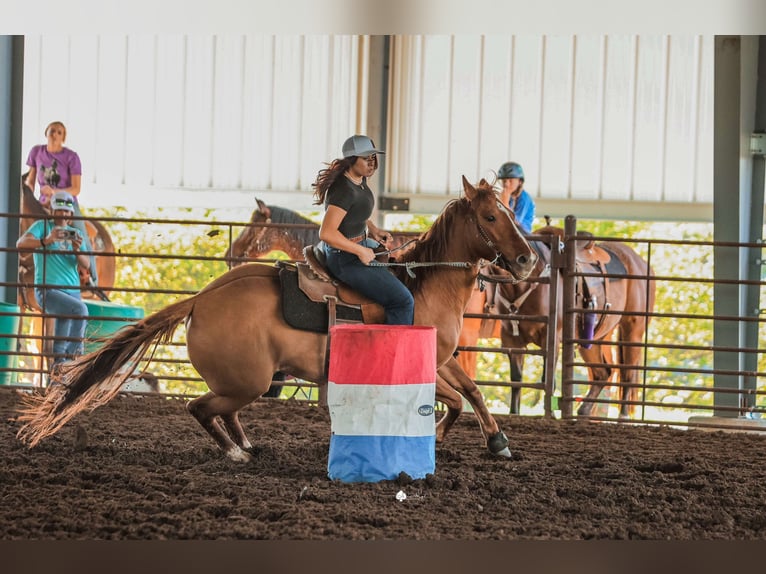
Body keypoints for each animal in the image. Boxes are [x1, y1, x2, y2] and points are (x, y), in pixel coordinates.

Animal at [15, 178, 536, 466]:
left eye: (508, 211)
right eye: (491, 215)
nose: (528, 259)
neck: (424, 283)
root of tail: (202, 298)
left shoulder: (446, 358)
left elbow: (471, 394)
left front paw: (497, 441)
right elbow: (456, 400)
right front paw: (442, 435)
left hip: (249, 380)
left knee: (224, 411)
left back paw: (248, 445)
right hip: (250, 379)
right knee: (201, 408)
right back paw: (235, 453)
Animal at [488, 225, 656, 418]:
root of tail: (642, 263)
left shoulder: (551, 338)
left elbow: (548, 379)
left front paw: (551, 415)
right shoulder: (512, 340)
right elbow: (516, 381)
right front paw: (513, 414)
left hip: (632, 331)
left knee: (628, 372)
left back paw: (622, 416)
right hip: (593, 338)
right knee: (604, 372)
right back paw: (584, 410)